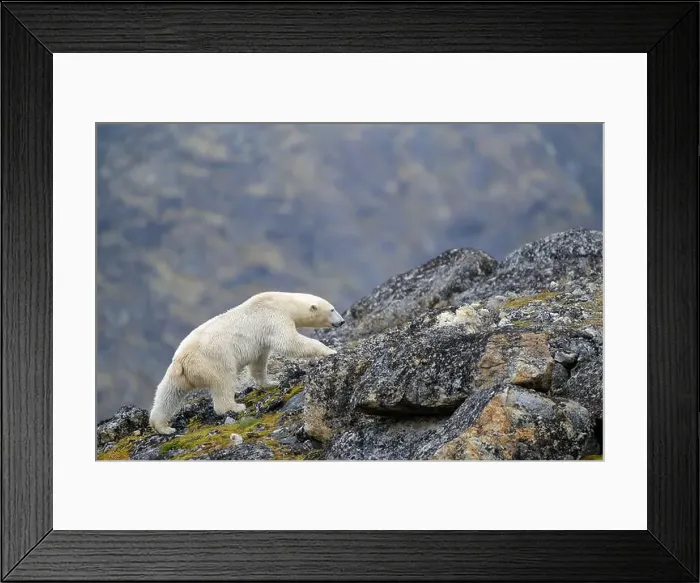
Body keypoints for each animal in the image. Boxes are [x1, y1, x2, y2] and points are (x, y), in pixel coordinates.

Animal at [148, 291, 345, 435]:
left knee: (168, 394)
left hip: (178, 374)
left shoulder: (262, 339)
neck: (282, 302)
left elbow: (259, 361)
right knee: (224, 382)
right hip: (214, 361)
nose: (342, 321)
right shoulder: (274, 318)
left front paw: (271, 382)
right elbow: (289, 343)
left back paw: (164, 427)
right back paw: (235, 407)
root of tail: (183, 360)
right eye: (332, 309)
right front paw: (330, 350)